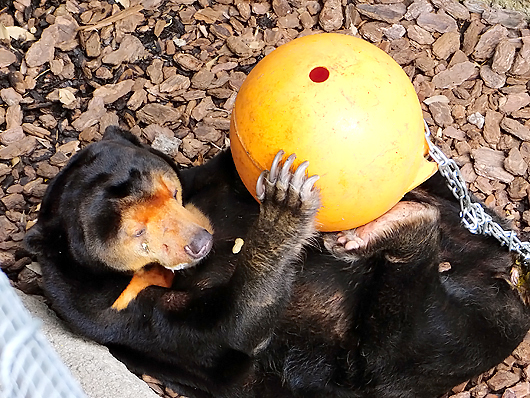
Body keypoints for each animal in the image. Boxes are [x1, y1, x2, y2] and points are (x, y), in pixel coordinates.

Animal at [25, 127, 530, 398]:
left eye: (169, 191)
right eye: (136, 236)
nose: (198, 243)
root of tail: (500, 273)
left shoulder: (208, 180)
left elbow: (232, 169)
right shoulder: (105, 309)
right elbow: (229, 331)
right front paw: (286, 209)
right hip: (429, 352)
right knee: (404, 336)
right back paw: (398, 228)